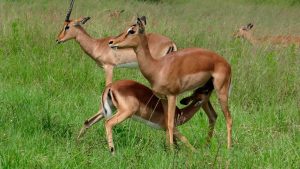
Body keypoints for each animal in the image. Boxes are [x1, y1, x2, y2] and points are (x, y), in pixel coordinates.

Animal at [77, 79, 213, 153]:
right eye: (205, 91)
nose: (211, 83)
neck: (179, 113)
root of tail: (110, 87)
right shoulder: (171, 128)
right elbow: (184, 140)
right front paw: (197, 153)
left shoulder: (167, 130)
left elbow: (175, 144)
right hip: (125, 113)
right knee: (108, 123)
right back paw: (113, 152)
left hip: (105, 110)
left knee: (87, 121)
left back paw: (77, 142)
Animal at [109, 16, 233, 149]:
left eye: (131, 31)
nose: (111, 42)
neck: (157, 67)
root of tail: (226, 63)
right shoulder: (163, 98)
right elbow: (168, 122)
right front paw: (170, 148)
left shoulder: (172, 96)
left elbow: (170, 123)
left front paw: (172, 150)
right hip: (205, 95)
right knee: (213, 116)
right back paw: (206, 146)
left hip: (221, 92)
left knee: (228, 118)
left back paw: (228, 148)